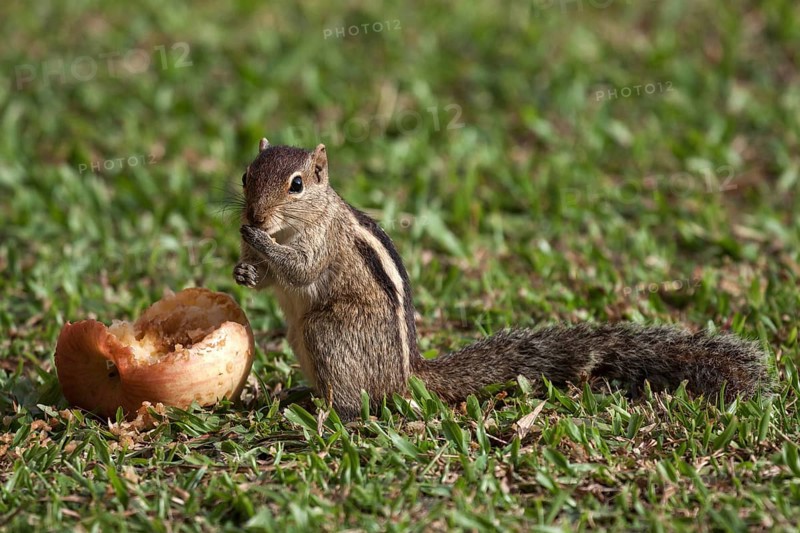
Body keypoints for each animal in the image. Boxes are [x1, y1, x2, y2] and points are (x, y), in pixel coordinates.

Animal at [233, 139, 773, 420]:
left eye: (296, 185)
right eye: (245, 175)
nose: (254, 216)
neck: (295, 223)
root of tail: (407, 375)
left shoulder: (321, 243)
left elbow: (301, 269)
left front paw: (257, 243)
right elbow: (268, 280)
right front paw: (244, 267)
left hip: (328, 332)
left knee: (358, 402)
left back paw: (325, 414)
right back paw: (299, 396)